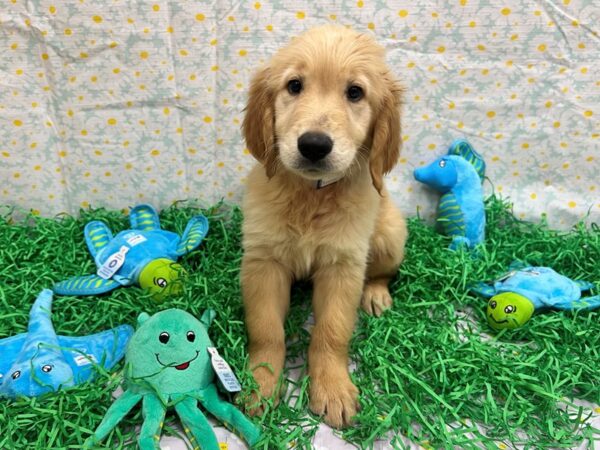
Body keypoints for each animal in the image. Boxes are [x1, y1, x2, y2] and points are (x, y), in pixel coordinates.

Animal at [239, 25, 408, 428]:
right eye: (294, 85)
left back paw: (376, 295)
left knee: (381, 272)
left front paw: (332, 388)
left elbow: (332, 332)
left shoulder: (343, 266)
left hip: (390, 234)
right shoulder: (263, 262)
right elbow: (266, 330)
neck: (311, 195)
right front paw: (260, 383)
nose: (314, 145)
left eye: (355, 92)